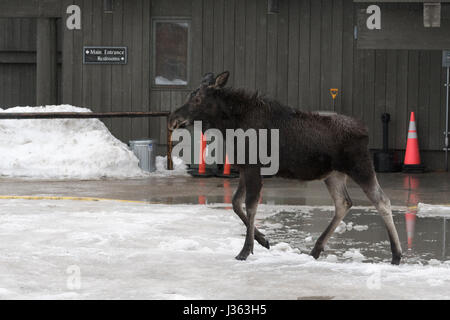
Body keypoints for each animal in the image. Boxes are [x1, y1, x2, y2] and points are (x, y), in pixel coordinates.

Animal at [169, 72, 404, 264]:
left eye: (197, 98)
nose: (173, 118)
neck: (231, 125)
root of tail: (365, 130)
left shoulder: (253, 167)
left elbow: (250, 205)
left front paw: (246, 250)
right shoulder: (245, 168)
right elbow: (236, 203)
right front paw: (263, 240)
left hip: (360, 166)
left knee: (382, 200)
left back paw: (396, 254)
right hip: (333, 174)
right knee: (343, 203)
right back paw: (316, 249)